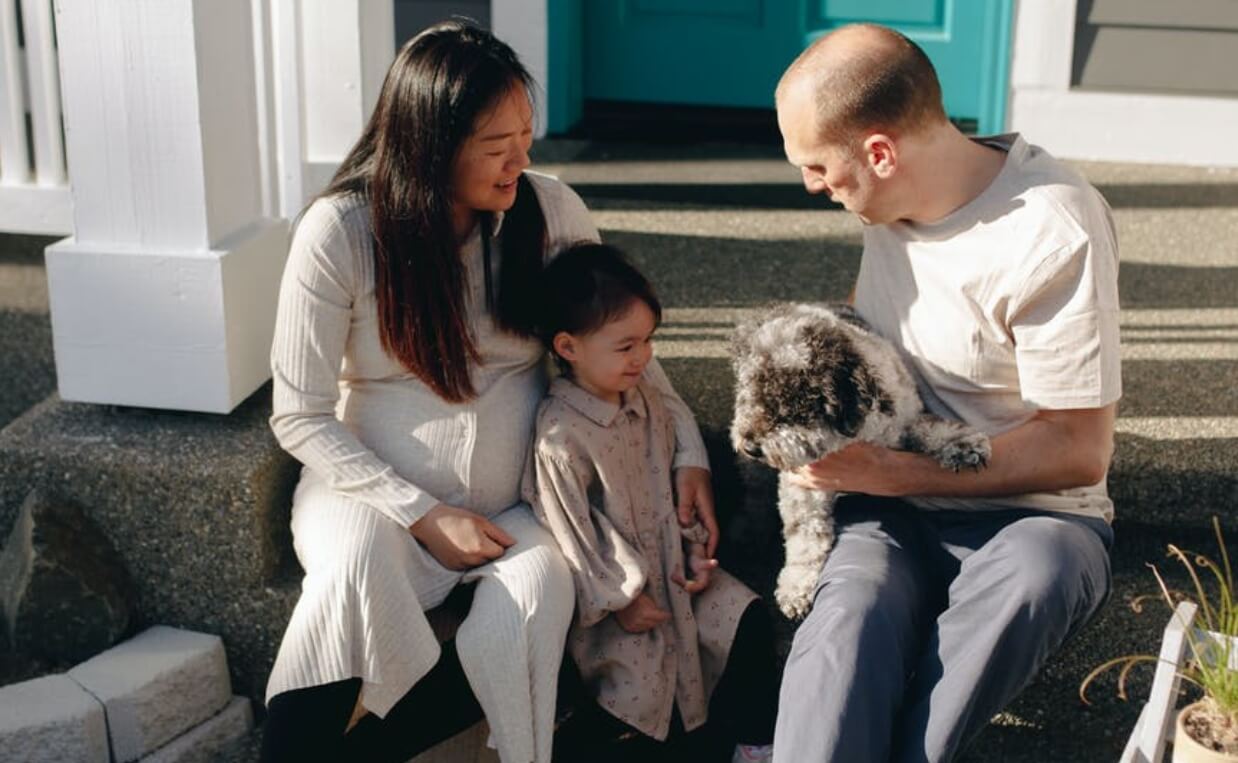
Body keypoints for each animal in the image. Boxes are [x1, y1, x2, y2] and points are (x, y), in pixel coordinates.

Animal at [727, 303, 990, 619]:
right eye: (749, 393)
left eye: (795, 406)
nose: (751, 445)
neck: (853, 436)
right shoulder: (804, 483)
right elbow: (805, 536)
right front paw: (796, 587)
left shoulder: (904, 421)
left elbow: (932, 427)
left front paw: (964, 445)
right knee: (755, 495)